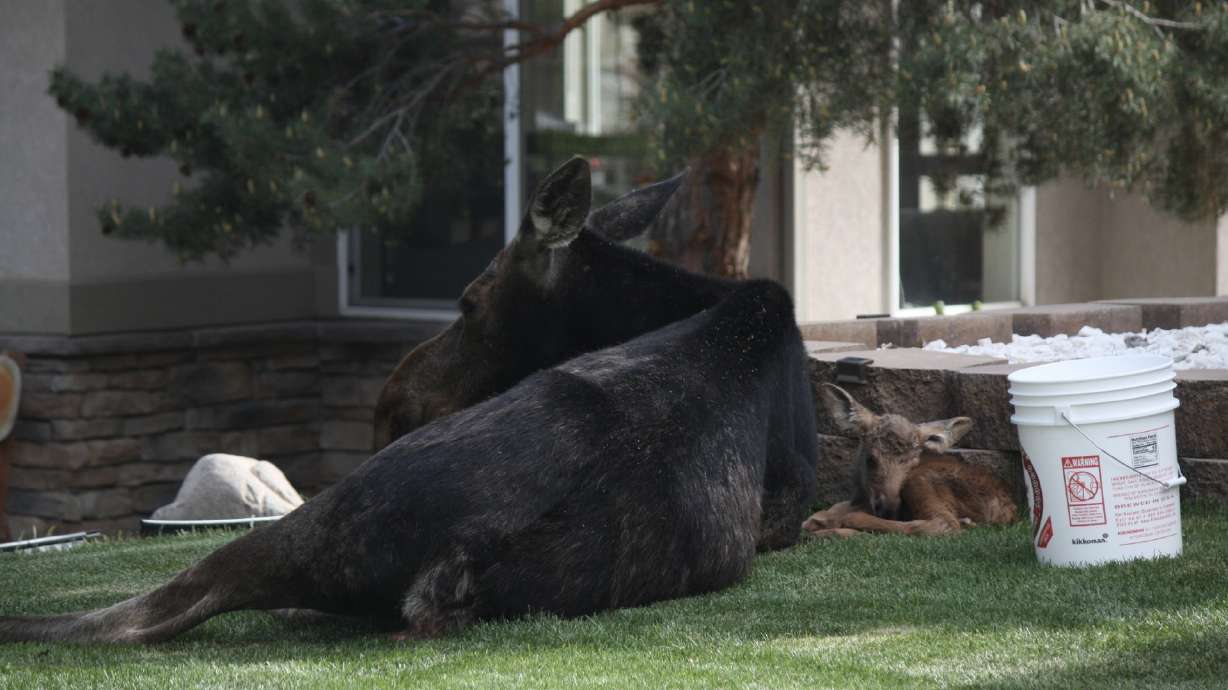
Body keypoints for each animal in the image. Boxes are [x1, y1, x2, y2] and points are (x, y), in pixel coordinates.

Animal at [802, 383, 1017, 538]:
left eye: (913, 463)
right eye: (871, 459)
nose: (888, 508)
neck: (860, 496)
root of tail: (1008, 511)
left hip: (921, 480)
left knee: (941, 524)